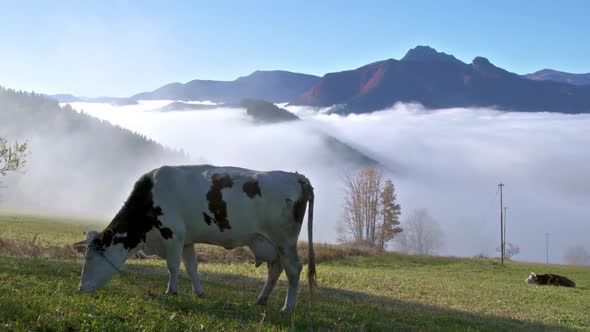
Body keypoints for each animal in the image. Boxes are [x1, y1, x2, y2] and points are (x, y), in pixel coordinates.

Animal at [75, 165, 320, 312]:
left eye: (90, 259)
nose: (80, 288)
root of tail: (297, 177)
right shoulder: (187, 240)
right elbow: (191, 266)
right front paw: (198, 292)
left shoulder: (172, 234)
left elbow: (173, 266)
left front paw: (171, 291)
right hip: (270, 243)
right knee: (276, 268)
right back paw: (261, 300)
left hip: (284, 241)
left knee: (293, 269)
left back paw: (288, 307)